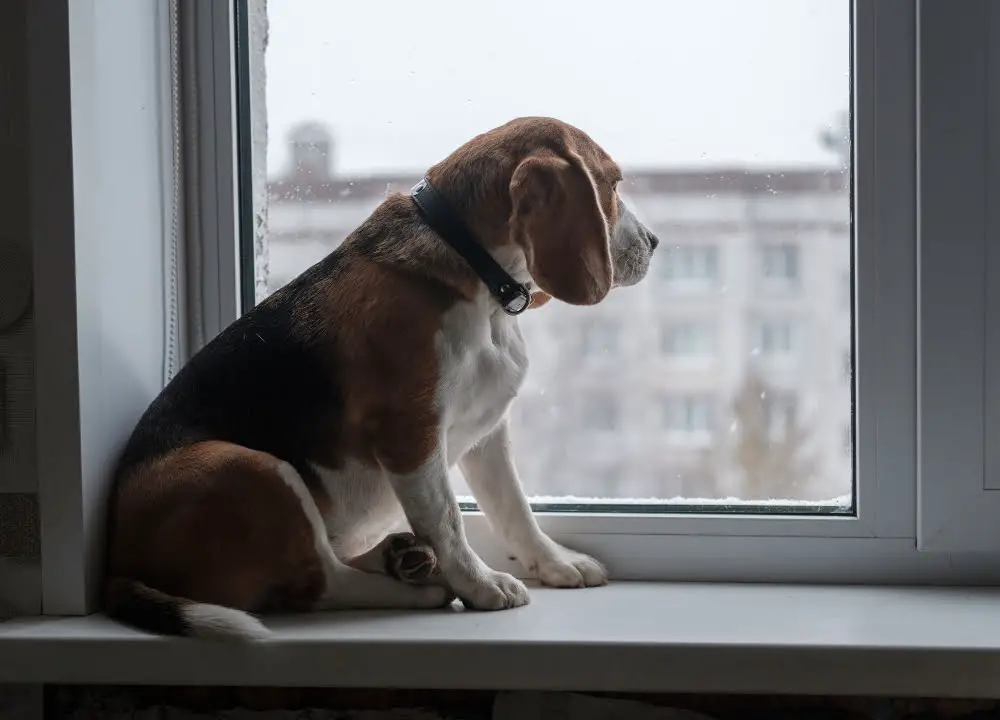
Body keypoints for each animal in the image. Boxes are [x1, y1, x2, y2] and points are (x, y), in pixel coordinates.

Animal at [105, 115, 660, 640]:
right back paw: (417, 588)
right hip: (250, 469)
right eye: (612, 185)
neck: (473, 277)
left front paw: (555, 562)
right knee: (318, 582)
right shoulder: (410, 434)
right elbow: (446, 520)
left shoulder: (487, 433)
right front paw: (480, 584)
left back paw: (400, 559)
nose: (655, 242)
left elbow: (513, 508)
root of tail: (116, 563)